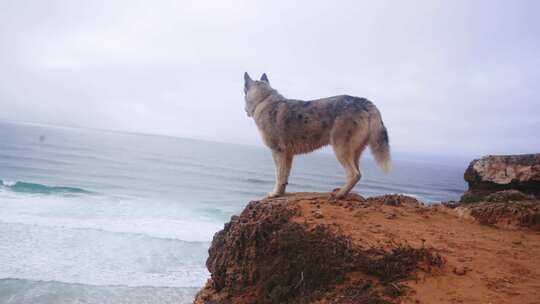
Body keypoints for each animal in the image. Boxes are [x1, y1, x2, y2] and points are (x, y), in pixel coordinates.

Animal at [243, 72, 390, 198]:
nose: (244, 110)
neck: (264, 100)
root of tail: (363, 101)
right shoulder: (288, 155)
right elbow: (285, 177)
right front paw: (281, 193)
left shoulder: (277, 152)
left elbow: (278, 176)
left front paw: (275, 194)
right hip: (354, 153)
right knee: (358, 174)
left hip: (340, 150)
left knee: (354, 174)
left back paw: (339, 194)